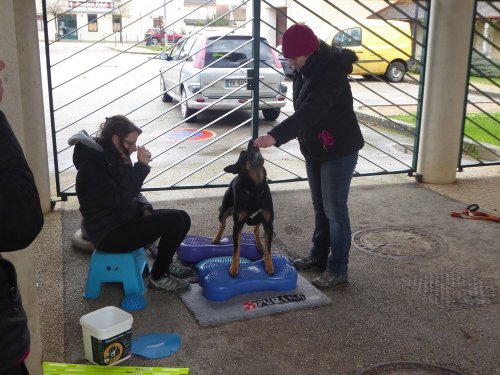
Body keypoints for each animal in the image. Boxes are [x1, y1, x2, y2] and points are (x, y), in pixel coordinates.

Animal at [212, 140, 274, 278]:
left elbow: (268, 248)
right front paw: (234, 268)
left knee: (256, 229)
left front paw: (269, 266)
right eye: (243, 155)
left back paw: (259, 245)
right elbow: (236, 249)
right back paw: (217, 238)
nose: (252, 141)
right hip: (224, 211)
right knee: (222, 223)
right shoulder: (238, 224)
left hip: (259, 219)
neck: (255, 189)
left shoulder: (268, 223)